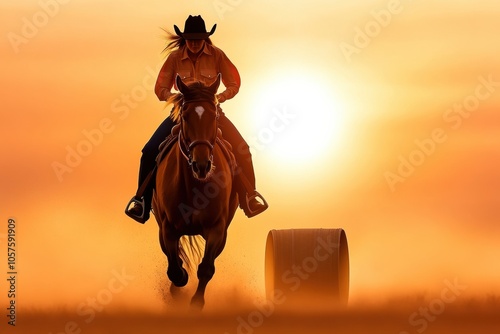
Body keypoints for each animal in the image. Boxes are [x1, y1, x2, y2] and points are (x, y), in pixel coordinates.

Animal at [152, 74, 238, 310]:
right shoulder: (168, 228)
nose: (202, 165)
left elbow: (206, 268)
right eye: (185, 116)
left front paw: (196, 303)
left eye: (214, 116)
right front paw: (180, 284)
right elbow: (175, 269)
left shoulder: (217, 229)